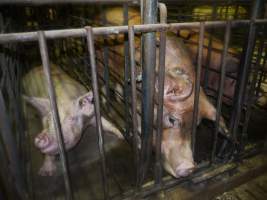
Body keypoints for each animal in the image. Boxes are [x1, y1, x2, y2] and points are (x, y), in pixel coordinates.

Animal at [94, 6, 230, 178]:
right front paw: (139, 145)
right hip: (99, 61)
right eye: (171, 119)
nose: (189, 167)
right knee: (103, 82)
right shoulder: (137, 102)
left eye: (197, 123)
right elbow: (138, 123)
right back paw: (106, 102)